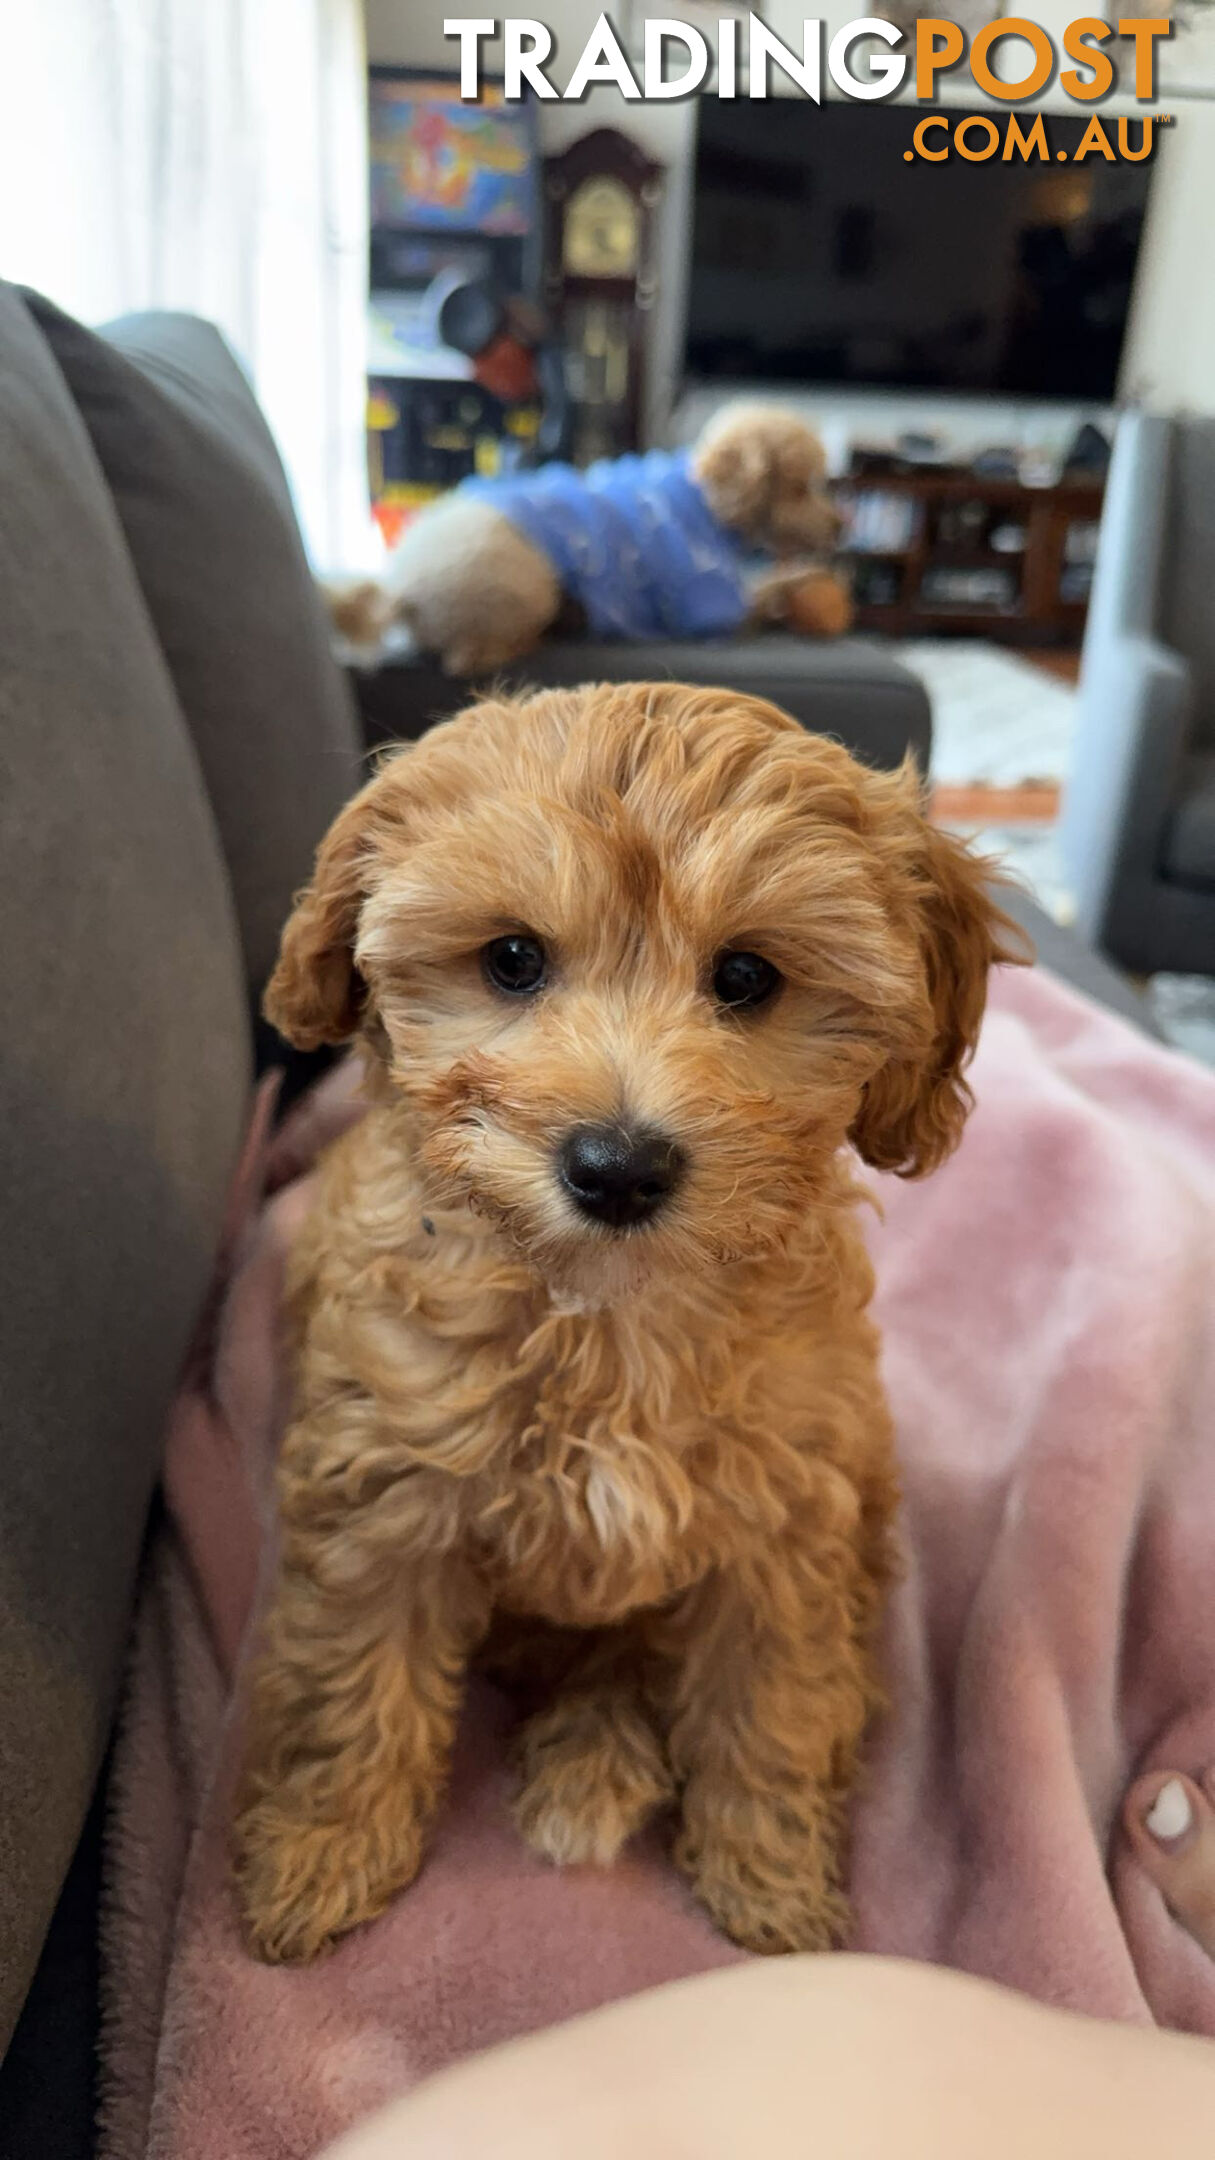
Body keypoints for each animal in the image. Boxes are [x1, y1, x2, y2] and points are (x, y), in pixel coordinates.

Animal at [234, 682, 1011, 1969]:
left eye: (746, 978)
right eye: (511, 958)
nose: (616, 1167)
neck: (605, 1310)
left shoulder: (784, 1526)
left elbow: (770, 1706)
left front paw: (772, 1890)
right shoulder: (384, 1498)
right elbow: (355, 1684)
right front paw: (320, 1859)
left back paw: (598, 1761)